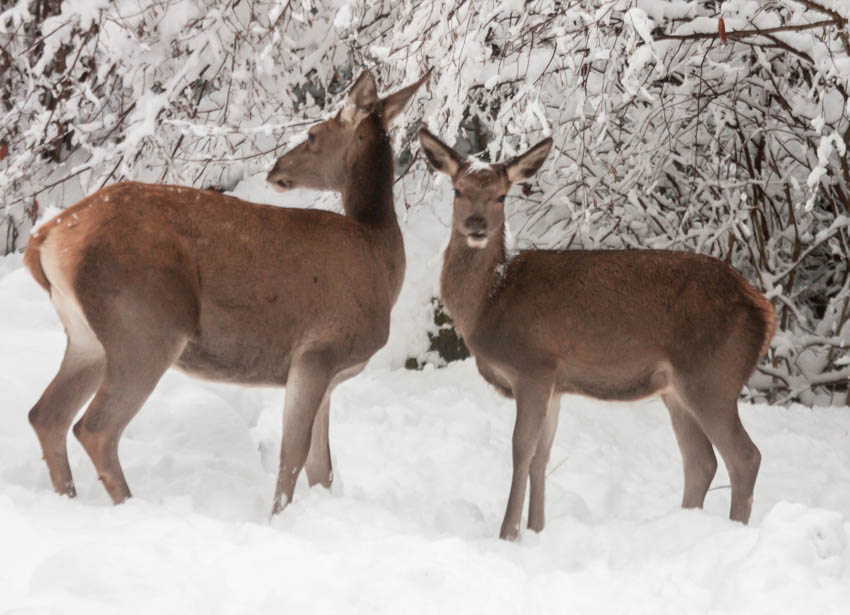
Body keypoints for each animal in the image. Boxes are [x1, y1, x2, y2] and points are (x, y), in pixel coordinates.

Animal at [24, 70, 428, 516]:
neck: (379, 252)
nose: (276, 168)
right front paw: (276, 519)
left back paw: (68, 498)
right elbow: (293, 456)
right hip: (145, 325)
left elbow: (321, 469)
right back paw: (131, 505)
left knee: (47, 414)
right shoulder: (318, 351)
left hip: (87, 335)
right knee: (94, 427)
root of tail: (46, 237)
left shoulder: (330, 372)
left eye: (312, 136)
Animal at [418, 127, 776, 540]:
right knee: (700, 461)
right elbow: (542, 456)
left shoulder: (533, 365)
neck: (488, 303)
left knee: (745, 457)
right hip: (676, 389)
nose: (476, 223)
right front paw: (537, 530)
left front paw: (508, 533)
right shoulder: (555, 383)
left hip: (713, 376)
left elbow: (521, 450)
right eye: (458, 190)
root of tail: (765, 310)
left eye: (501, 195)